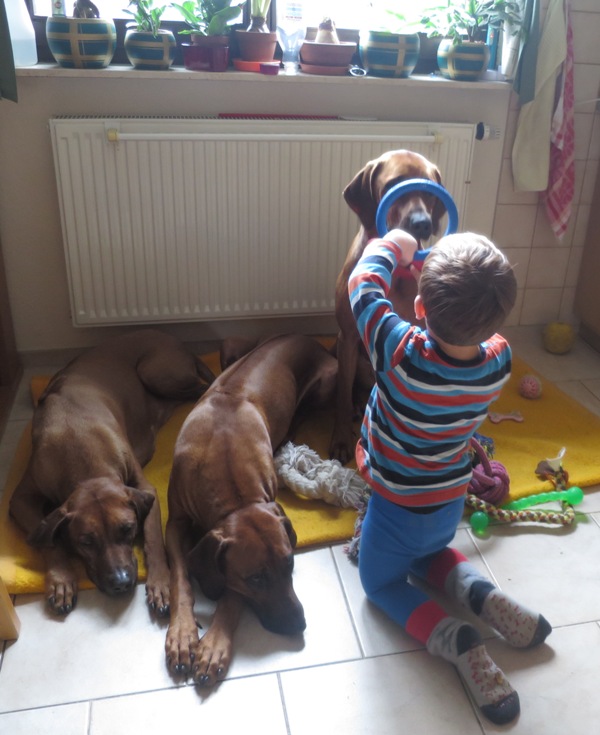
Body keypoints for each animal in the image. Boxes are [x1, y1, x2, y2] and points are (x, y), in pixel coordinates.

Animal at [9, 329, 215, 616]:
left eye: (127, 529)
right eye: (86, 542)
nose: (121, 582)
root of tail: (170, 337)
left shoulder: (144, 488)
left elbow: (153, 538)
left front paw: (160, 583)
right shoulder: (21, 498)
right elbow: (47, 541)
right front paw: (61, 580)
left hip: (153, 370)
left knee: (203, 386)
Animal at [164, 333, 337, 687]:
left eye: (290, 563)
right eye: (256, 578)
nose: (298, 624)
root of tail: (305, 336)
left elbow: (231, 595)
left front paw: (214, 645)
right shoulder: (174, 523)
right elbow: (180, 577)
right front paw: (182, 634)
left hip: (326, 382)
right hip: (229, 346)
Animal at [329, 149, 446, 465]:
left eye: (429, 189)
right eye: (394, 184)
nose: (422, 223)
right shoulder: (347, 337)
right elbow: (341, 397)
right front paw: (341, 439)